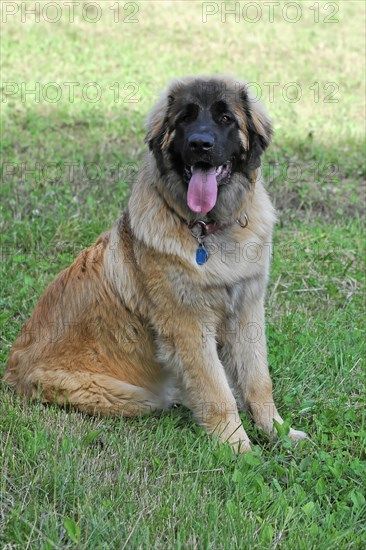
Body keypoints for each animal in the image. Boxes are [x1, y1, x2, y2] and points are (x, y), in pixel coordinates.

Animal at [3, 78, 306, 458]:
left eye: (225, 118)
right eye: (185, 119)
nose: (200, 144)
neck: (208, 230)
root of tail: (11, 370)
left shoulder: (247, 310)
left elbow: (258, 380)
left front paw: (278, 432)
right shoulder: (187, 326)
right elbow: (216, 390)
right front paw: (239, 449)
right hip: (129, 394)